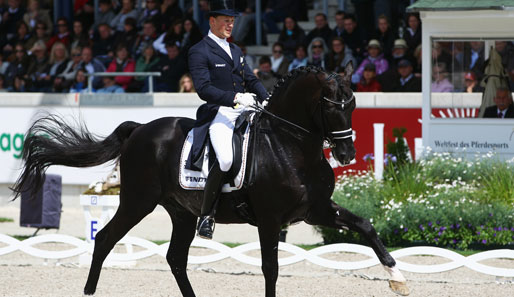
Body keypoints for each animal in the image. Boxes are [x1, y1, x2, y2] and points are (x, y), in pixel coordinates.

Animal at [11, 65, 408, 294]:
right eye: (328, 104)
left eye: (352, 103)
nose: (346, 154)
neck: (291, 145)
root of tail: (140, 129)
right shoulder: (270, 220)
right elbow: (271, 268)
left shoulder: (316, 210)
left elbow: (365, 225)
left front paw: (398, 278)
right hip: (138, 201)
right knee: (106, 238)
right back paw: (89, 291)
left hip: (182, 212)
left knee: (174, 257)